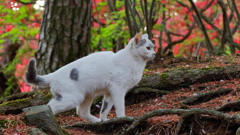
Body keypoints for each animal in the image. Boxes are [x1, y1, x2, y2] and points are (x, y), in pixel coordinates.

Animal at [24, 32, 156, 123]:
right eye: (148, 48)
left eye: (153, 47)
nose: (155, 53)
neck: (135, 62)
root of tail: (53, 74)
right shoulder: (118, 89)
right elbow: (119, 107)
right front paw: (123, 118)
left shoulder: (110, 92)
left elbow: (104, 109)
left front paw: (104, 121)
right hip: (72, 98)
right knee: (49, 106)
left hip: (87, 96)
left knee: (81, 112)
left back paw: (97, 122)